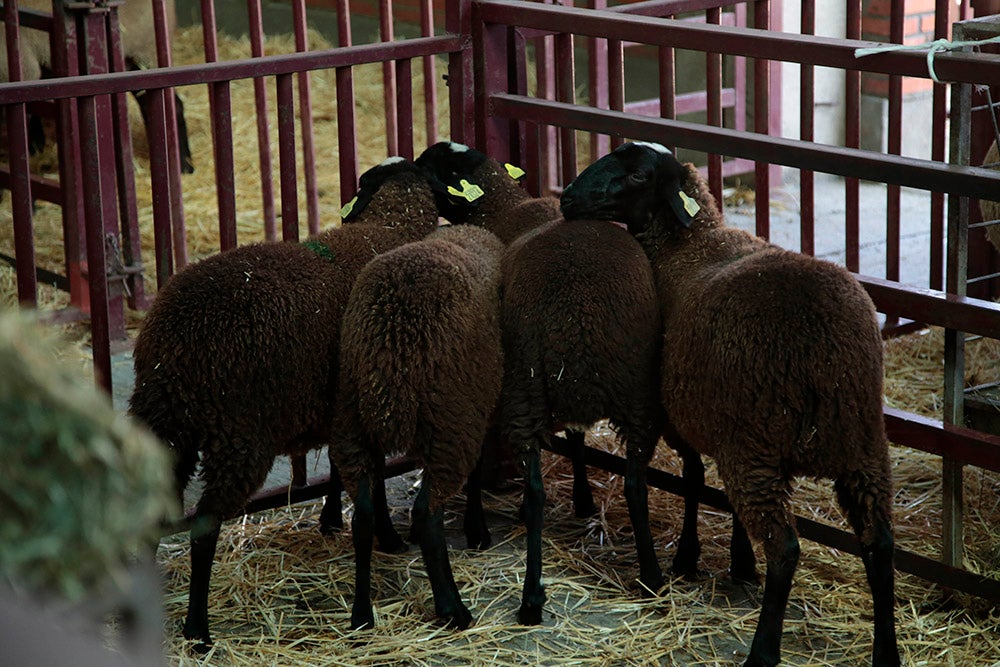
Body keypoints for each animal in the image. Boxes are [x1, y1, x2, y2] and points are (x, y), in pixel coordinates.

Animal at [332, 224, 504, 632]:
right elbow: (476, 473)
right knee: (427, 514)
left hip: (353, 419)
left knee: (362, 517)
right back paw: (452, 608)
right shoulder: (477, 407)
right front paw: (477, 528)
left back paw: (361, 615)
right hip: (450, 416)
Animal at [564, 141, 900, 667]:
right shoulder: (717, 421)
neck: (684, 244)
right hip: (861, 443)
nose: (567, 200)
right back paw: (886, 650)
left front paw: (690, 557)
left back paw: (763, 649)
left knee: (785, 548)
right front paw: (738, 562)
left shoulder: (686, 419)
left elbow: (694, 481)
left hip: (759, 443)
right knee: (879, 543)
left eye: (638, 176)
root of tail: (827, 349)